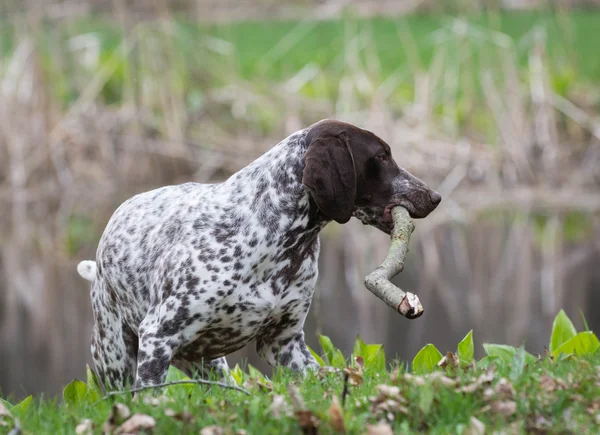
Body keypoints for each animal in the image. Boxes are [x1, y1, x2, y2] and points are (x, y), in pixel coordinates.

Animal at [78, 120, 440, 392]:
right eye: (381, 156)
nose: (435, 196)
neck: (278, 241)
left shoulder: (284, 343)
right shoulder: (157, 336)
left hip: (209, 367)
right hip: (118, 360)